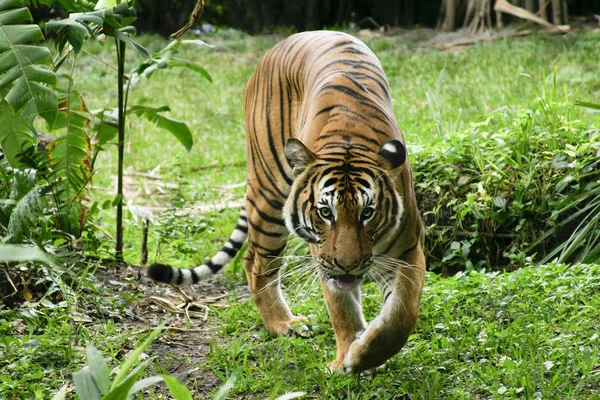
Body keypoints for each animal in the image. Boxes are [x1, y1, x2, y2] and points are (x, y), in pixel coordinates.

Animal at [147, 30, 424, 372]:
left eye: (367, 213)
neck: (349, 140)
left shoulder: (408, 250)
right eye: (325, 212)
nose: (347, 266)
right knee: (256, 264)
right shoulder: (323, 257)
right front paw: (347, 357)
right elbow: (342, 308)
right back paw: (284, 325)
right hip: (268, 196)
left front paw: (362, 354)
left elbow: (400, 315)